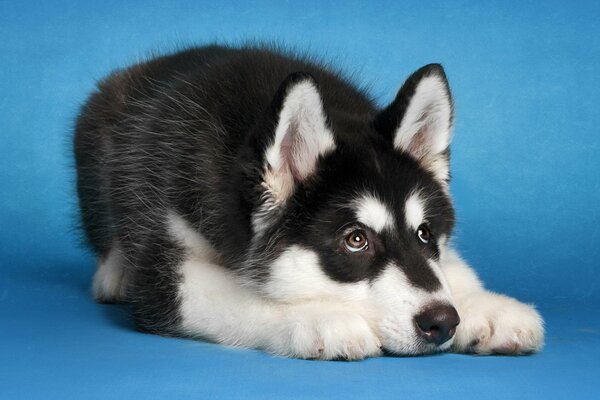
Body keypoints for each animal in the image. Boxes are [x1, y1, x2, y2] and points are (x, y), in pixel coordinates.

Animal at [75, 44, 544, 360]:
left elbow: (449, 269)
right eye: (355, 240)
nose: (443, 321)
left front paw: (486, 305)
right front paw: (320, 318)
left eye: (425, 233)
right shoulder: (165, 272)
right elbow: (242, 298)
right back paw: (115, 271)